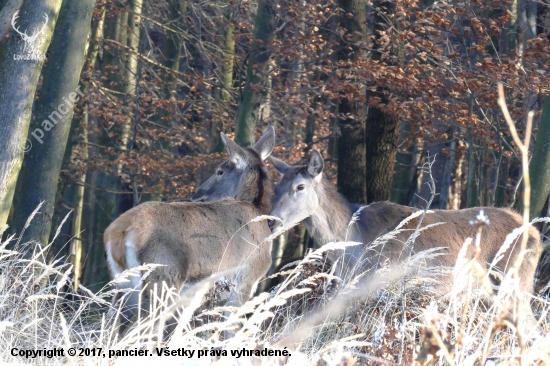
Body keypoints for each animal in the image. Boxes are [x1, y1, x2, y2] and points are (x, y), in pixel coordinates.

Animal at [103, 126, 276, 328]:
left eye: (220, 171)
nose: (196, 193)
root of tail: (118, 233)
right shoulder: (246, 278)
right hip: (163, 278)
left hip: (123, 283)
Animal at [270, 149, 540, 300]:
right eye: (276, 186)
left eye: (300, 186)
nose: (272, 221)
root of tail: (536, 234)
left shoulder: (384, 282)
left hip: (515, 281)